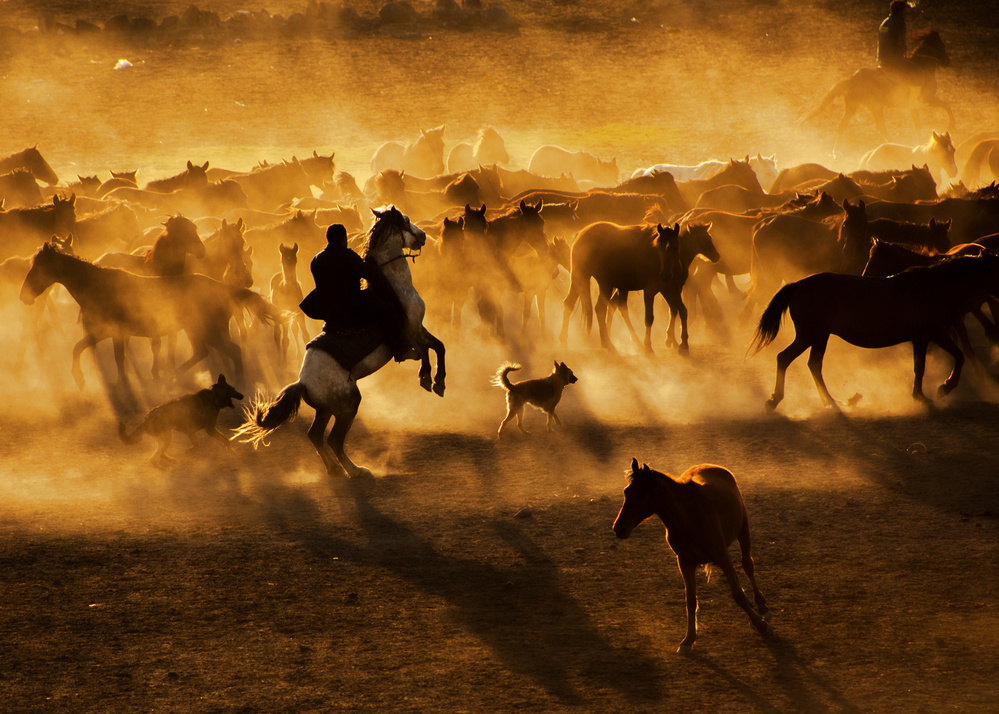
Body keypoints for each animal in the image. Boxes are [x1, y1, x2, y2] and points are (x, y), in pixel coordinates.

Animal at [235, 203, 446, 476]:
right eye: (406, 221)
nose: (423, 237)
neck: (393, 288)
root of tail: (302, 382)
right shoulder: (411, 331)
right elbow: (427, 351)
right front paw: (429, 378)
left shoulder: (419, 329)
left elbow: (438, 346)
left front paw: (437, 381)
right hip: (347, 406)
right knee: (334, 439)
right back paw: (355, 470)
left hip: (326, 410)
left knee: (315, 436)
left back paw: (335, 469)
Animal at [608, 458, 772, 652]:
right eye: (626, 492)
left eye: (641, 495)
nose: (619, 528)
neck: (688, 517)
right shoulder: (685, 562)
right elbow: (691, 601)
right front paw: (688, 640)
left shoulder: (722, 557)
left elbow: (738, 595)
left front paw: (760, 624)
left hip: (743, 530)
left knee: (747, 565)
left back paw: (762, 607)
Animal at [752, 252, 999, 412]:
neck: (931, 289)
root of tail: (798, 285)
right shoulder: (930, 335)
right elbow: (947, 360)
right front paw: (940, 390)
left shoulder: (924, 337)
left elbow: (926, 365)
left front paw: (925, 394)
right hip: (809, 335)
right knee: (784, 358)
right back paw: (775, 400)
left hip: (820, 336)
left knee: (814, 365)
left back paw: (830, 401)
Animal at [804, 30, 952, 150]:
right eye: (942, 45)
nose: (947, 62)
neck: (922, 65)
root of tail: (852, 79)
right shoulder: (926, 99)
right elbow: (945, 107)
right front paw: (952, 125)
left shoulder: (916, 105)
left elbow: (920, 123)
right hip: (873, 106)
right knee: (880, 128)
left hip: (853, 106)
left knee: (842, 126)